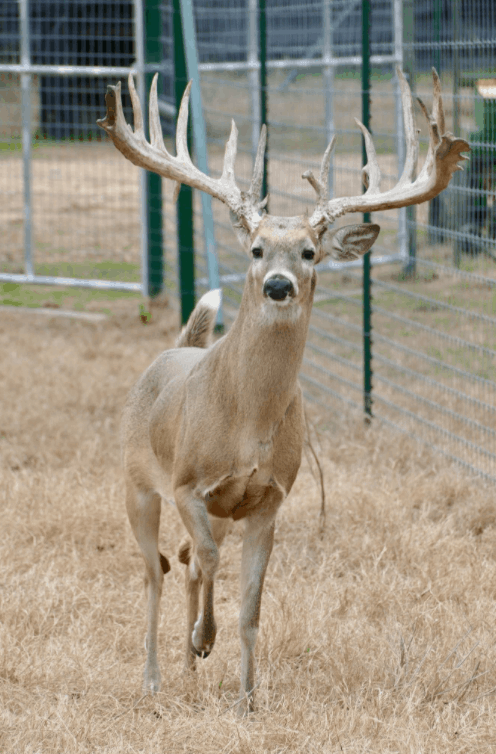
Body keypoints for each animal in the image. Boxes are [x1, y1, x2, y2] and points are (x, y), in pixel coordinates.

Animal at [97, 68, 469, 714]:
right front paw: (204, 639)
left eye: (309, 252)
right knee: (157, 567)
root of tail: (175, 349)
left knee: (185, 560)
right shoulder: (189, 483)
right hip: (136, 482)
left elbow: (251, 604)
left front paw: (246, 696)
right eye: (255, 249)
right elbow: (209, 561)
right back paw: (154, 675)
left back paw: (188, 669)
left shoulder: (269, 497)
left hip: (215, 508)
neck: (247, 422)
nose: (276, 284)